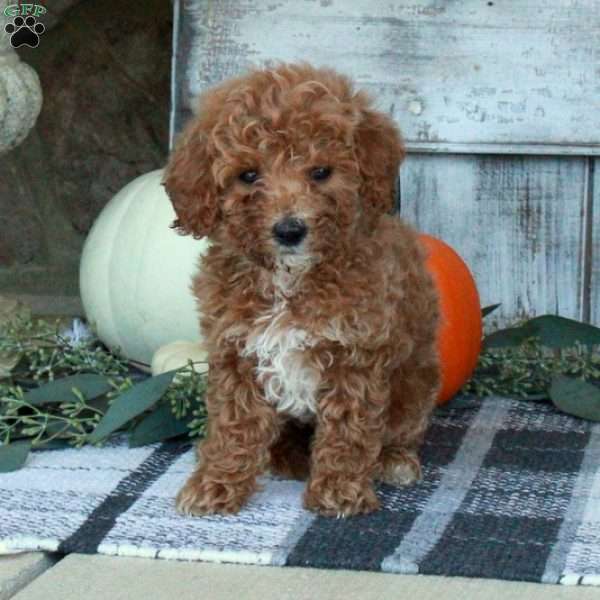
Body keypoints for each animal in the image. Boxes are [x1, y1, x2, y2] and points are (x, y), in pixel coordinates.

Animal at [164, 63, 440, 516]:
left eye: (321, 172)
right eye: (248, 175)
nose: (290, 230)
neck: (289, 278)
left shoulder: (355, 354)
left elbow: (348, 429)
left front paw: (340, 489)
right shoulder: (236, 352)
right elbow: (233, 425)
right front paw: (216, 483)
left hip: (415, 385)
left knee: (401, 429)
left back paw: (394, 460)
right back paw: (286, 458)